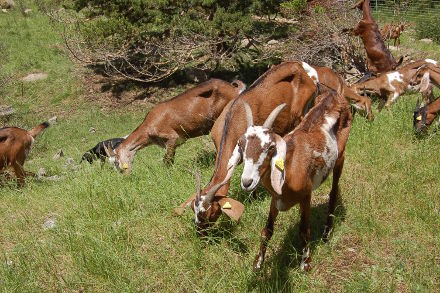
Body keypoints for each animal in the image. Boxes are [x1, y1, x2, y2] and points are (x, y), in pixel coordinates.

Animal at [104, 78, 246, 172]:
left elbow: (167, 160)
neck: (148, 129)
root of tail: (234, 89)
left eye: (116, 162)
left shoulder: (172, 137)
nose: (124, 175)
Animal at [229, 81, 352, 270]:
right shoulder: (275, 198)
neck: (289, 169)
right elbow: (267, 231)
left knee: (334, 192)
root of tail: (333, 94)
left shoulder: (306, 195)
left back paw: (326, 234)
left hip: (341, 157)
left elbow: (304, 230)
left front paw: (305, 264)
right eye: (241, 144)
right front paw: (258, 263)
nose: (247, 182)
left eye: (271, 147)